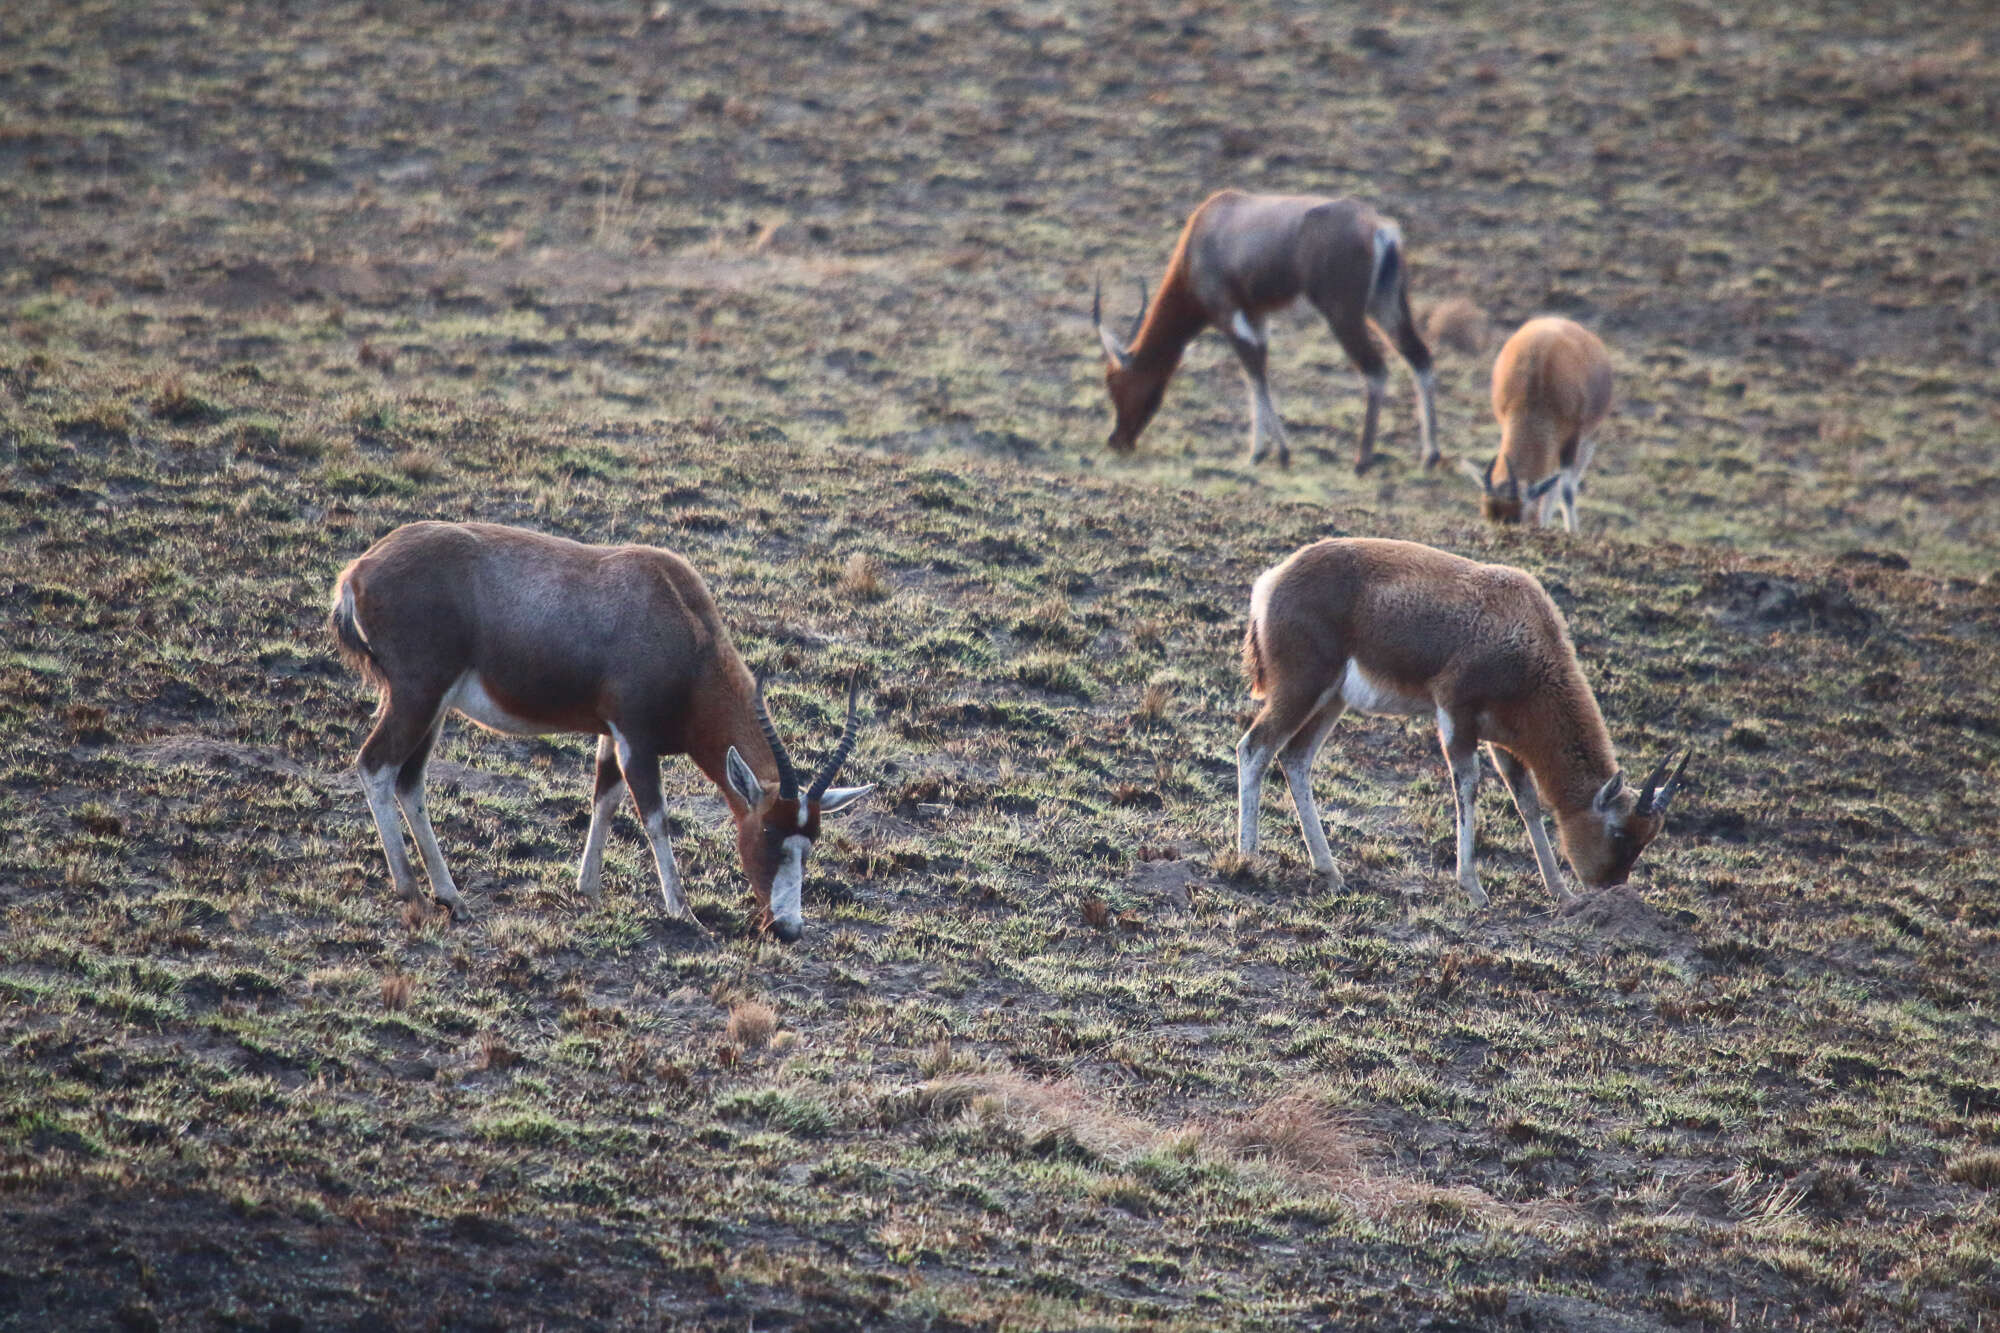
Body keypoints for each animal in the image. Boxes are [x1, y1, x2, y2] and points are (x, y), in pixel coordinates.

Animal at [330, 516, 876, 932]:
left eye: (810, 843)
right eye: (766, 832)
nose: (788, 928)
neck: (675, 611)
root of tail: (360, 570)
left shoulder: (611, 736)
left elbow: (605, 800)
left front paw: (588, 890)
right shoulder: (636, 738)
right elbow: (654, 817)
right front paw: (685, 913)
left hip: (434, 708)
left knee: (410, 780)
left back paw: (451, 897)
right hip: (417, 697)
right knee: (376, 765)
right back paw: (412, 892)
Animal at [1096, 189, 1440, 470]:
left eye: (1113, 381)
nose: (1117, 441)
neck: (1211, 224)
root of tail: (1379, 228)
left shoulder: (1228, 317)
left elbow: (1253, 371)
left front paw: (1263, 454)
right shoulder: (1256, 317)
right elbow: (1259, 373)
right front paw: (1272, 453)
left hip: (1344, 316)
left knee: (1375, 369)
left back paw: (1362, 461)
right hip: (1386, 308)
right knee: (1420, 358)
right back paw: (1430, 457)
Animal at [1232, 536, 1688, 896]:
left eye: (1646, 840)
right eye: (1619, 833)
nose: (1609, 888)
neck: (1523, 625)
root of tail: (1274, 580)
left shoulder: (1503, 741)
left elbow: (1526, 802)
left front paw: (1559, 891)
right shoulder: (1455, 716)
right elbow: (1467, 786)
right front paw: (1473, 888)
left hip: (1331, 701)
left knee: (1295, 758)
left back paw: (1329, 872)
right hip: (1302, 689)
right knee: (1255, 746)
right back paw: (1249, 857)